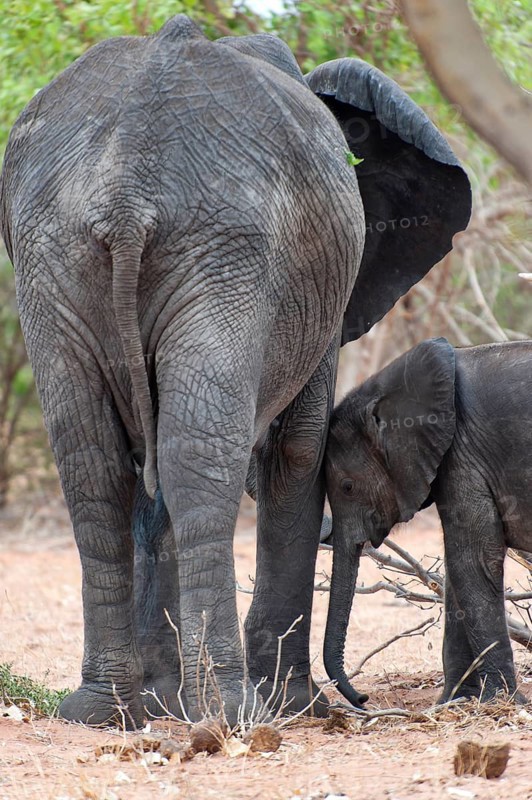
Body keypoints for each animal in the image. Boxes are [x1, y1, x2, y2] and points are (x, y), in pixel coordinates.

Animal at [0, 16, 471, 727]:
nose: (359, 702)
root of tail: (128, 186)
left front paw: (165, 700)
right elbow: (297, 451)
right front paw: (294, 704)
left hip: (59, 255)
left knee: (96, 462)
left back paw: (101, 710)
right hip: (224, 253)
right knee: (197, 459)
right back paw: (232, 709)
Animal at [322, 337, 531, 708]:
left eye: (347, 486)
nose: (362, 698)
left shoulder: (464, 454)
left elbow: (473, 561)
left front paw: (501, 702)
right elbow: (458, 572)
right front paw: (457, 700)